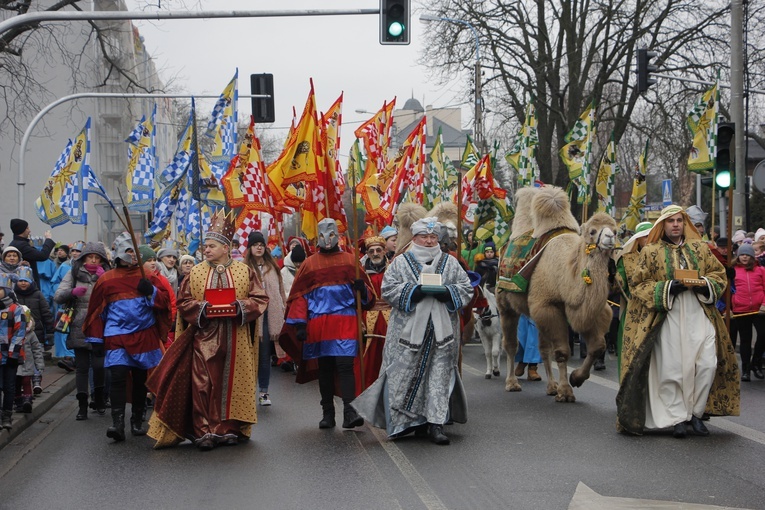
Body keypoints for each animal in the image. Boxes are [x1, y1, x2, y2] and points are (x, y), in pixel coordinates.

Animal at [492, 185, 616, 400]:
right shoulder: (547, 306)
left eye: (616, 230)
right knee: (511, 344)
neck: (567, 274)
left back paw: (550, 386)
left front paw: (576, 378)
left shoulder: (589, 311)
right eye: (592, 231)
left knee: (542, 348)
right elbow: (562, 351)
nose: (609, 238)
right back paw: (512, 382)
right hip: (505, 304)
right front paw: (565, 391)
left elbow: (597, 346)